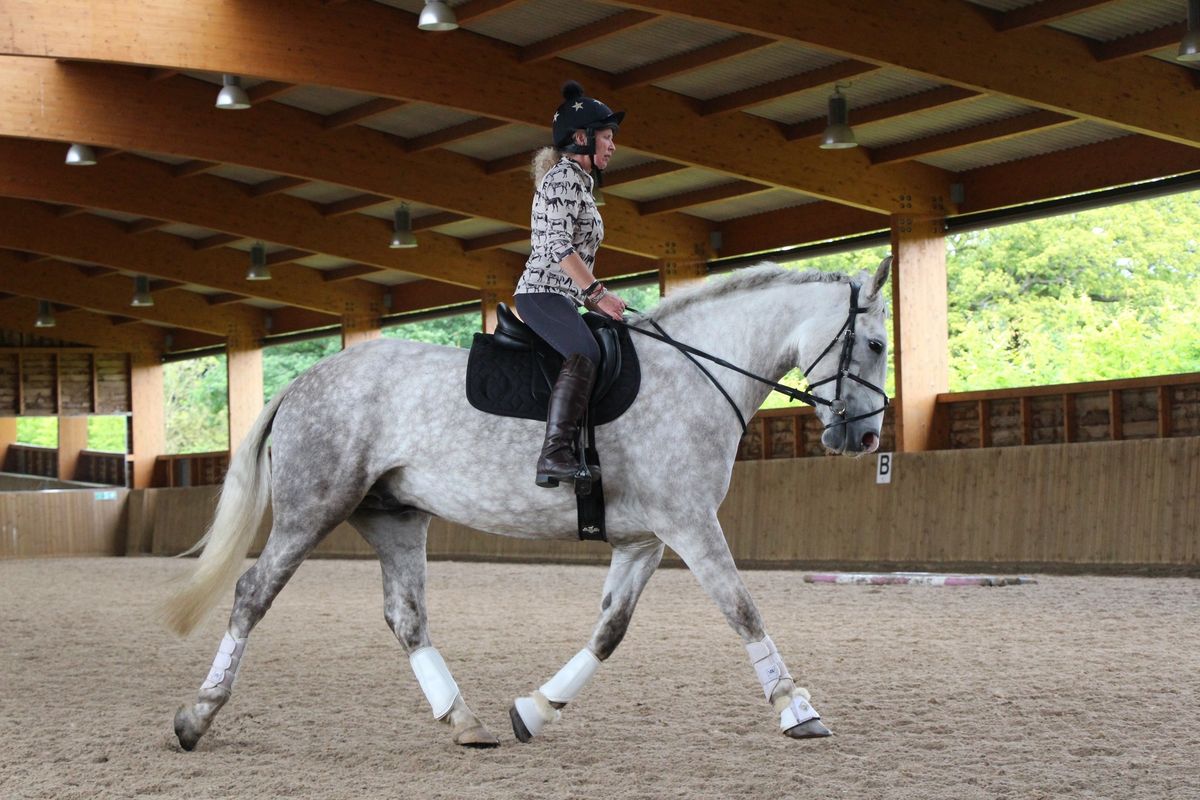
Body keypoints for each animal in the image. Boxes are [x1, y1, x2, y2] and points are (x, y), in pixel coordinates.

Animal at [164, 257, 892, 753]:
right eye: (878, 344)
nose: (864, 438)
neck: (693, 372)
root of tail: (302, 382)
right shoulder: (689, 525)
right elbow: (744, 610)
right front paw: (798, 710)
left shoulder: (645, 540)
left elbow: (609, 631)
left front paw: (534, 710)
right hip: (312, 509)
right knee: (252, 594)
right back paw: (195, 718)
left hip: (393, 517)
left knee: (407, 617)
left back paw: (466, 721)